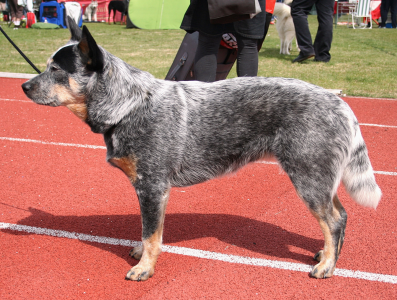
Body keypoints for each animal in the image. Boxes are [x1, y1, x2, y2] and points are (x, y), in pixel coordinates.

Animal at [21, 18, 380, 282]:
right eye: (46, 66)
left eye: (56, 70)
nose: (24, 86)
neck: (127, 105)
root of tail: (341, 103)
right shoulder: (150, 191)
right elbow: (149, 231)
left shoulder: (152, 187)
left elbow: (151, 234)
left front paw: (145, 268)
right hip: (320, 177)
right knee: (341, 215)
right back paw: (328, 255)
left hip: (308, 178)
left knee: (333, 220)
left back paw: (327, 266)